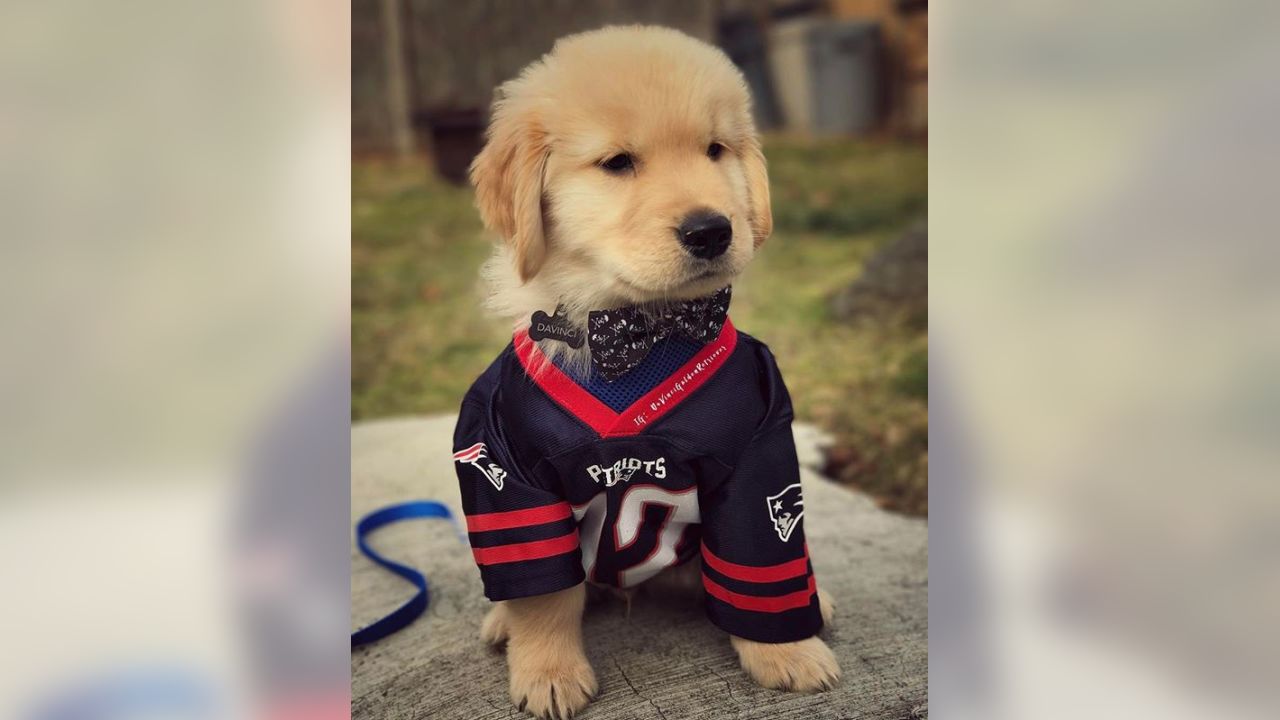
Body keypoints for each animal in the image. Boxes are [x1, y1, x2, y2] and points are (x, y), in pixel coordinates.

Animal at [460, 25, 839, 712]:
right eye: (618, 163)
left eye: (715, 151)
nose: (712, 231)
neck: (641, 330)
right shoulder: (507, 472)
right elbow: (546, 596)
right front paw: (549, 671)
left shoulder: (758, 463)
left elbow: (756, 562)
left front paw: (787, 651)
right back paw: (504, 621)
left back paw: (812, 598)